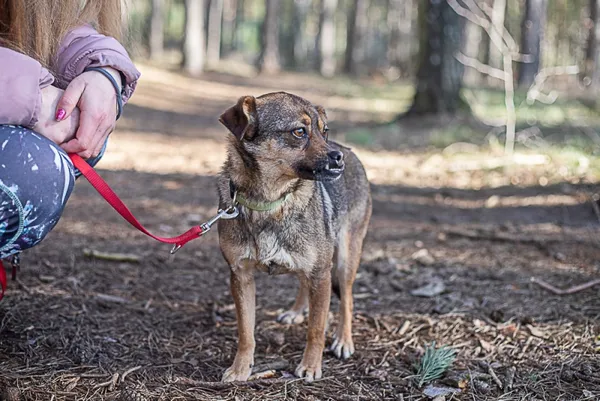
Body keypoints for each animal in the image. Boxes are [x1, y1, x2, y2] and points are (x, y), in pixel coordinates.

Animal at [217, 91, 370, 382]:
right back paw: (297, 311)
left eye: (324, 130)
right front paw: (241, 368)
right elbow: (246, 332)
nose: (338, 157)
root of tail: (352, 152)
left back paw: (343, 340)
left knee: (347, 298)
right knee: (303, 282)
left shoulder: (321, 273)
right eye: (299, 132)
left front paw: (310, 365)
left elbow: (316, 328)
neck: (270, 202)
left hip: (344, 259)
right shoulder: (240, 276)